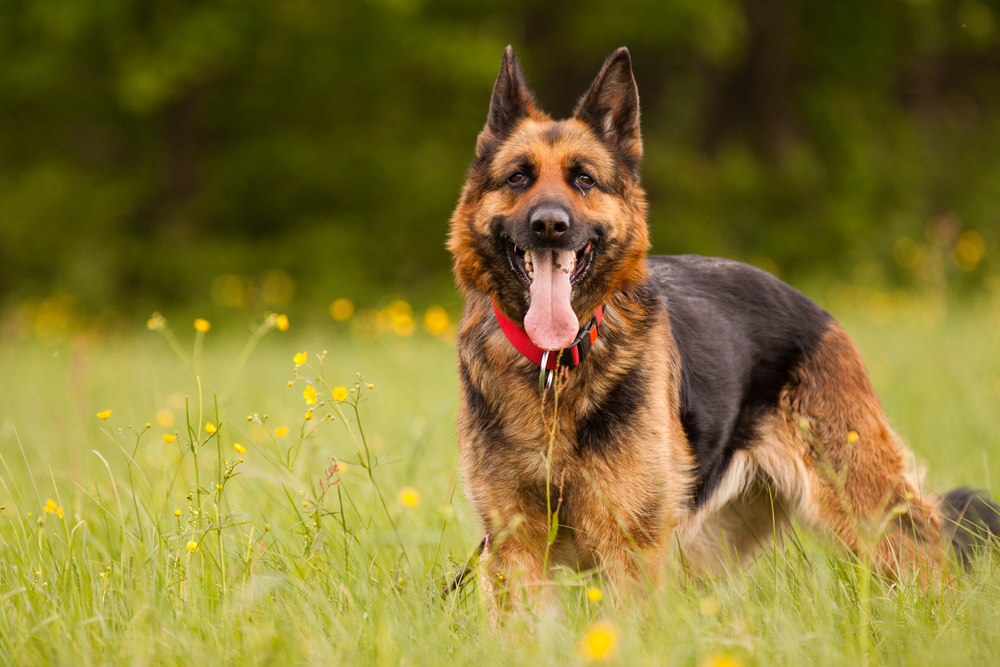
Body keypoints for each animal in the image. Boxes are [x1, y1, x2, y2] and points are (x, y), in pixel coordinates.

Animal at [448, 45, 1000, 612]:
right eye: (518, 178)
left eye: (584, 179)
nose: (549, 225)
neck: (556, 365)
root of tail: (813, 308)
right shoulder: (515, 553)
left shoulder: (629, 550)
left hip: (869, 512)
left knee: (930, 557)